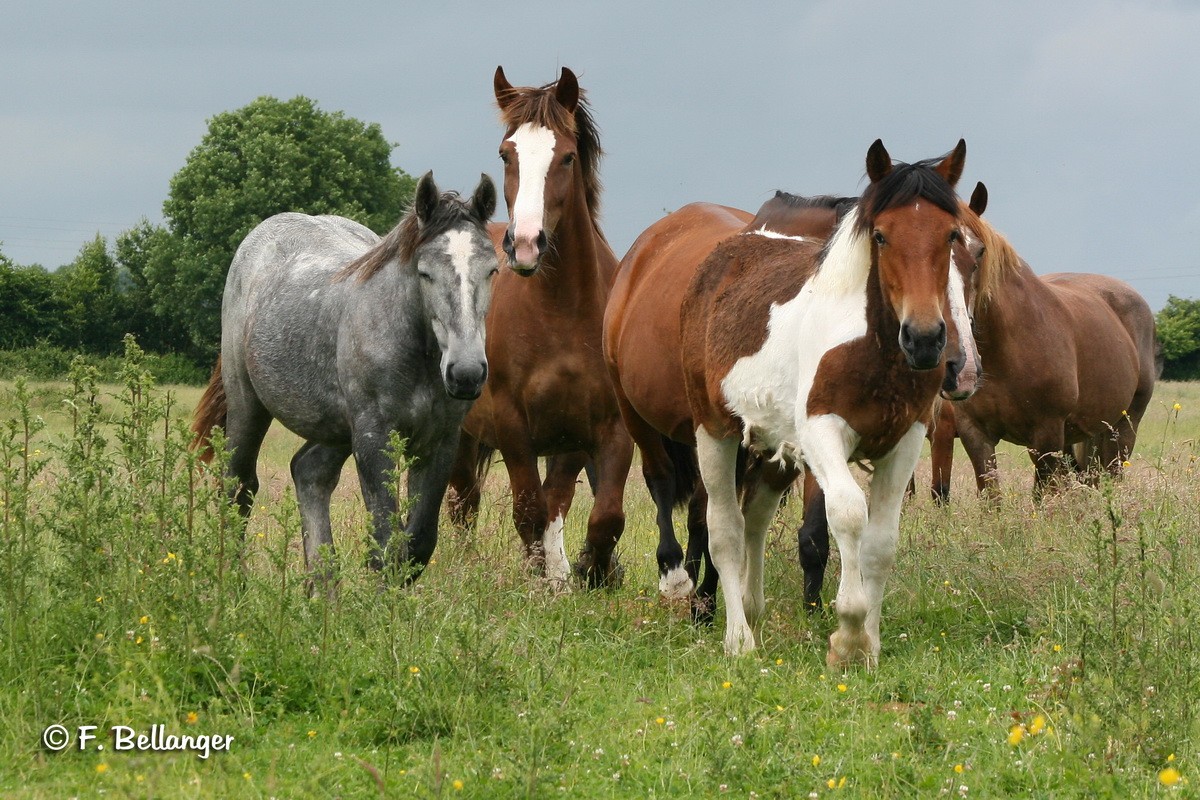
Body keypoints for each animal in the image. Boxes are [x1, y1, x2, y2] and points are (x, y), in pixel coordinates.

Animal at [190, 172, 496, 578]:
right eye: (425, 273)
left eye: (492, 269)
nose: (466, 374)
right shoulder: (373, 436)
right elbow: (387, 543)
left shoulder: (439, 442)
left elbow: (417, 547)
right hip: (247, 405)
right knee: (238, 486)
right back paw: (233, 581)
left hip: (334, 428)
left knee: (309, 473)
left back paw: (321, 585)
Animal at [448, 65, 638, 587]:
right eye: (506, 153)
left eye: (568, 157)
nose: (527, 244)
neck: (561, 313)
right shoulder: (513, 423)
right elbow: (528, 510)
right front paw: (541, 582)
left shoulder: (601, 427)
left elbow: (600, 515)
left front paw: (584, 571)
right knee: (462, 502)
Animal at [916, 194, 1161, 501]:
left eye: (980, 251)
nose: (960, 367)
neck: (1005, 351)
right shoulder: (974, 434)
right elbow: (990, 498)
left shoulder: (1046, 435)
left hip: (1124, 427)